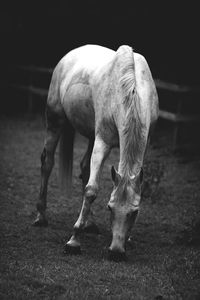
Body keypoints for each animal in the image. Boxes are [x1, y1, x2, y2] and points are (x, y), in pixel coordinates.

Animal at [33, 44, 159, 260]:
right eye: (110, 208)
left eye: (134, 212)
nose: (116, 252)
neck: (130, 88)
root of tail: (70, 54)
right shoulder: (103, 142)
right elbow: (91, 190)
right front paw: (73, 241)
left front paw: (128, 238)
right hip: (55, 120)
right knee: (47, 163)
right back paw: (41, 216)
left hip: (91, 135)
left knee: (84, 167)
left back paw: (90, 224)